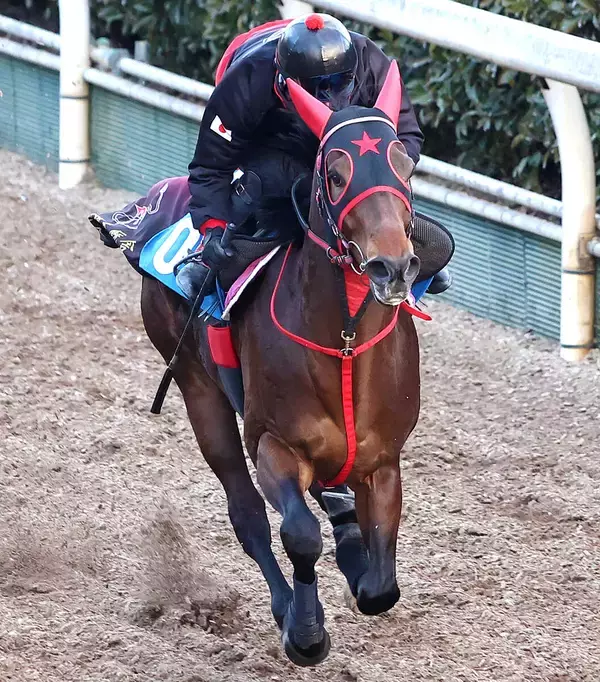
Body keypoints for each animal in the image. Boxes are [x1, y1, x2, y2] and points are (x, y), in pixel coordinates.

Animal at [139, 61, 424, 666]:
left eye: (405, 165)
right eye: (335, 175)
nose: (392, 266)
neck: (343, 343)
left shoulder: (384, 460)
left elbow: (380, 584)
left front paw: (358, 563)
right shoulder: (274, 442)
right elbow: (299, 534)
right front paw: (305, 631)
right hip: (201, 394)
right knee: (247, 514)